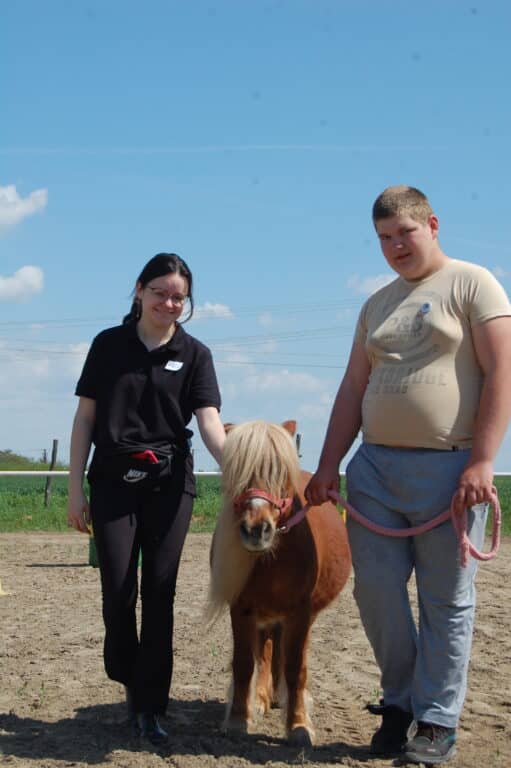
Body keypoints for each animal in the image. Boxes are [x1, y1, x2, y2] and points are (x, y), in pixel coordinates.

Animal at [207, 419, 351, 747]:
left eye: (280, 474)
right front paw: (239, 719)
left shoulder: (300, 613)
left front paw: (298, 725)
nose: (256, 530)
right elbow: (245, 662)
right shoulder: (242, 609)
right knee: (267, 649)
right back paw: (262, 699)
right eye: (238, 475)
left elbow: (296, 667)